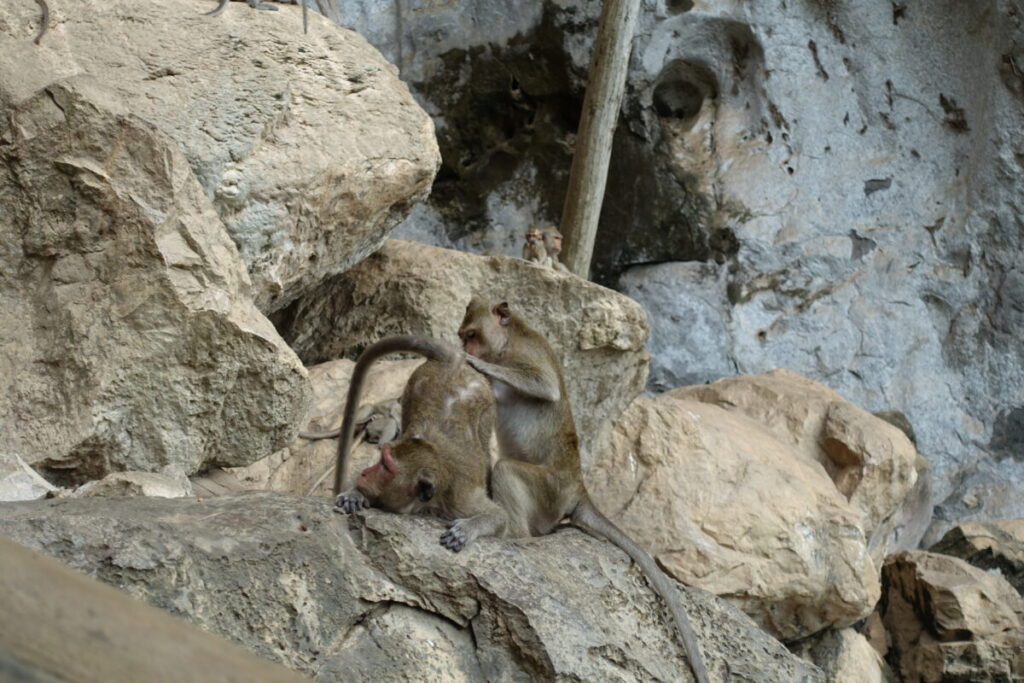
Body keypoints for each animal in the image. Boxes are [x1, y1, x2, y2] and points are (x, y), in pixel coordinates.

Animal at [456, 301, 712, 683]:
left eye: (472, 335)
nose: (466, 348)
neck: (510, 339)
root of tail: (579, 487)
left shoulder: (529, 353)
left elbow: (545, 386)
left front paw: (480, 367)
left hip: (549, 491)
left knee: (506, 471)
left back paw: (509, 532)